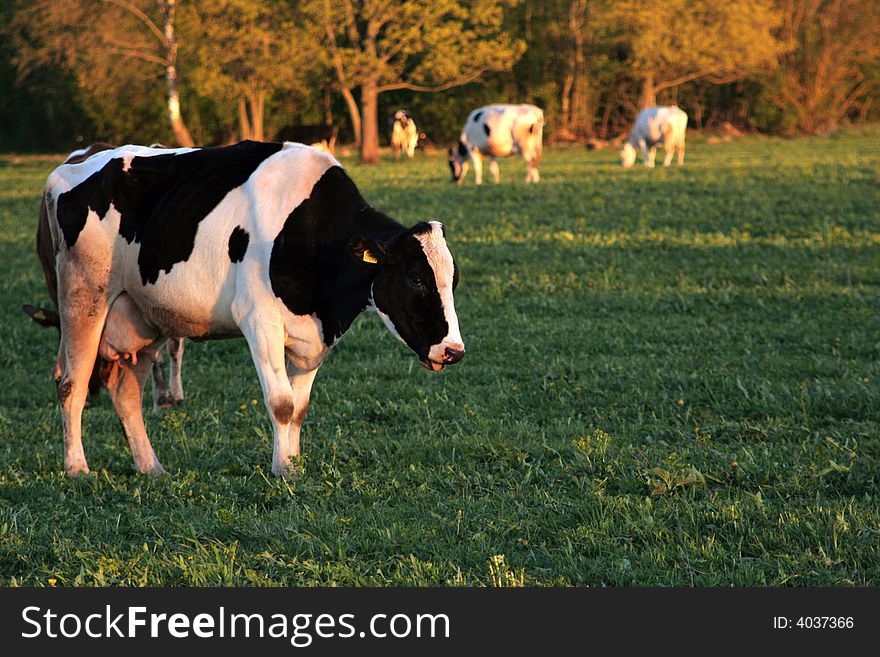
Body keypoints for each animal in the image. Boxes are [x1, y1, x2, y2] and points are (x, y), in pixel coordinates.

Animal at [44, 140, 464, 476]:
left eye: (453, 280)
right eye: (416, 278)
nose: (454, 351)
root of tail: (68, 171)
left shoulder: (314, 336)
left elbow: (300, 406)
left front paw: (293, 463)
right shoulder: (259, 321)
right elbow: (281, 403)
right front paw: (283, 471)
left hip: (143, 317)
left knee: (127, 394)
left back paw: (152, 468)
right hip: (83, 296)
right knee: (72, 383)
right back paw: (77, 467)